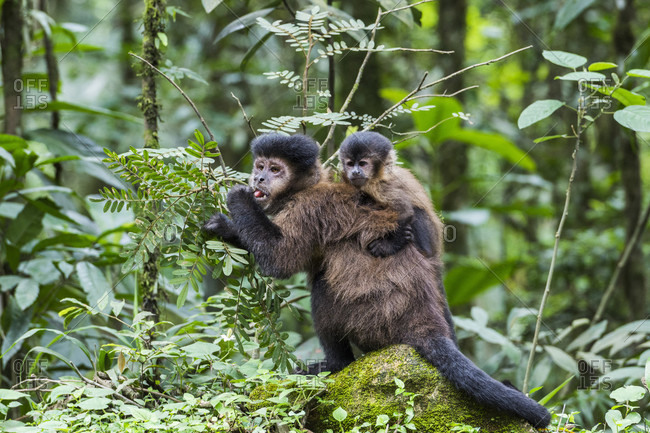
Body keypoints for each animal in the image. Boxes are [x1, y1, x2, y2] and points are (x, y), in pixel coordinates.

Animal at [205, 133, 548, 426]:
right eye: (260, 165)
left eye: (275, 169)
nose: (258, 179)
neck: (307, 187)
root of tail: (424, 321)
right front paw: (225, 227)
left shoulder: (309, 207)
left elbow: (279, 261)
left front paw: (238, 200)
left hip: (372, 321)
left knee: (322, 288)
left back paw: (336, 364)